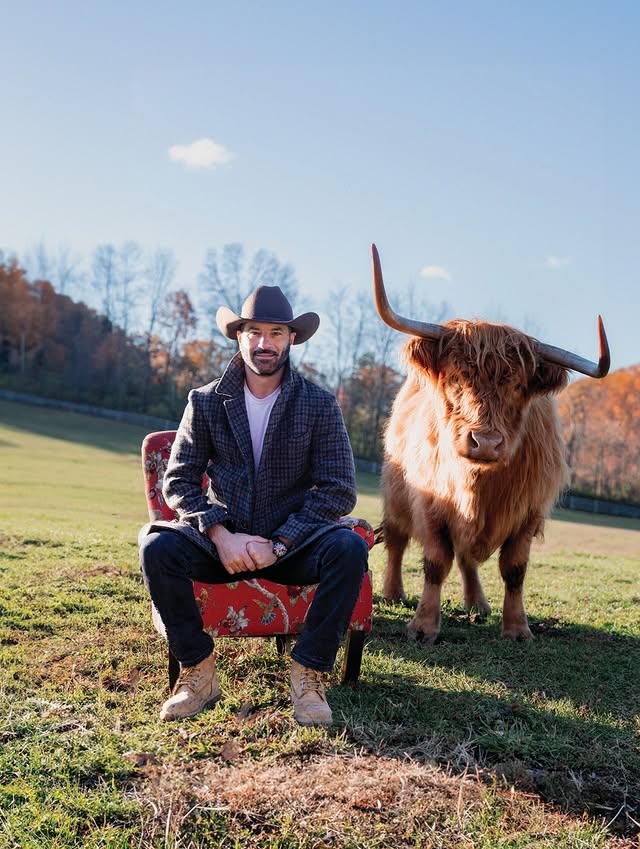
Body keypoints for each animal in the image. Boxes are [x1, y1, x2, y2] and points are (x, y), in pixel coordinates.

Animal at [371, 243, 610, 641]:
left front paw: (516, 627)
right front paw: (423, 625)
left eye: (518, 386)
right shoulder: (429, 504)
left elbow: (514, 570)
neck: (478, 488)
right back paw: (393, 592)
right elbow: (435, 563)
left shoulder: (529, 511)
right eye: (456, 378)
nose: (485, 442)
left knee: (468, 557)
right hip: (395, 495)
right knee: (395, 540)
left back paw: (477, 603)